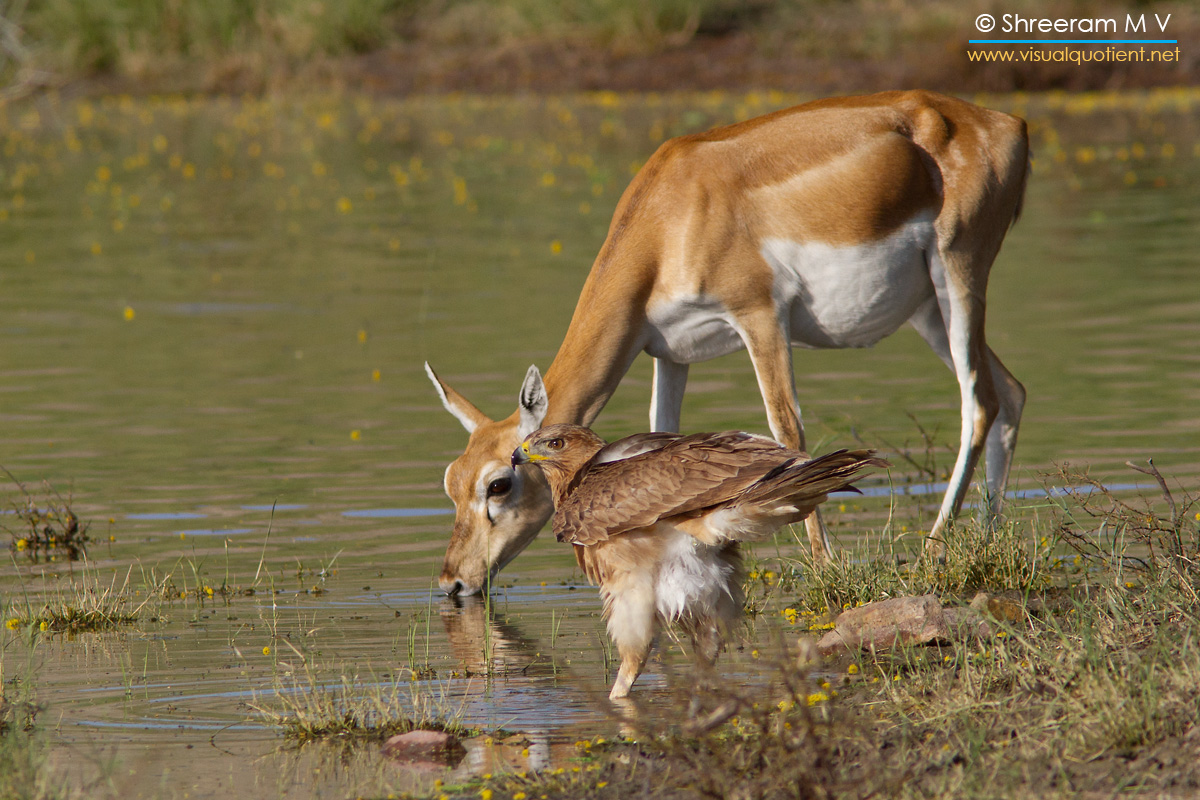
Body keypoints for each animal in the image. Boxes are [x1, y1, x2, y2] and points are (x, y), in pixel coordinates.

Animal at [427, 90, 1027, 597]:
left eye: (499, 484)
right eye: (451, 480)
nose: (452, 582)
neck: (669, 216)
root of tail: (1005, 123)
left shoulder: (758, 313)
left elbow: (788, 430)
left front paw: (825, 567)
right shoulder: (669, 352)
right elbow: (660, 440)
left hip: (957, 271)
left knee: (979, 400)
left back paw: (933, 554)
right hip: (927, 310)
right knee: (1012, 392)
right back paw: (988, 542)